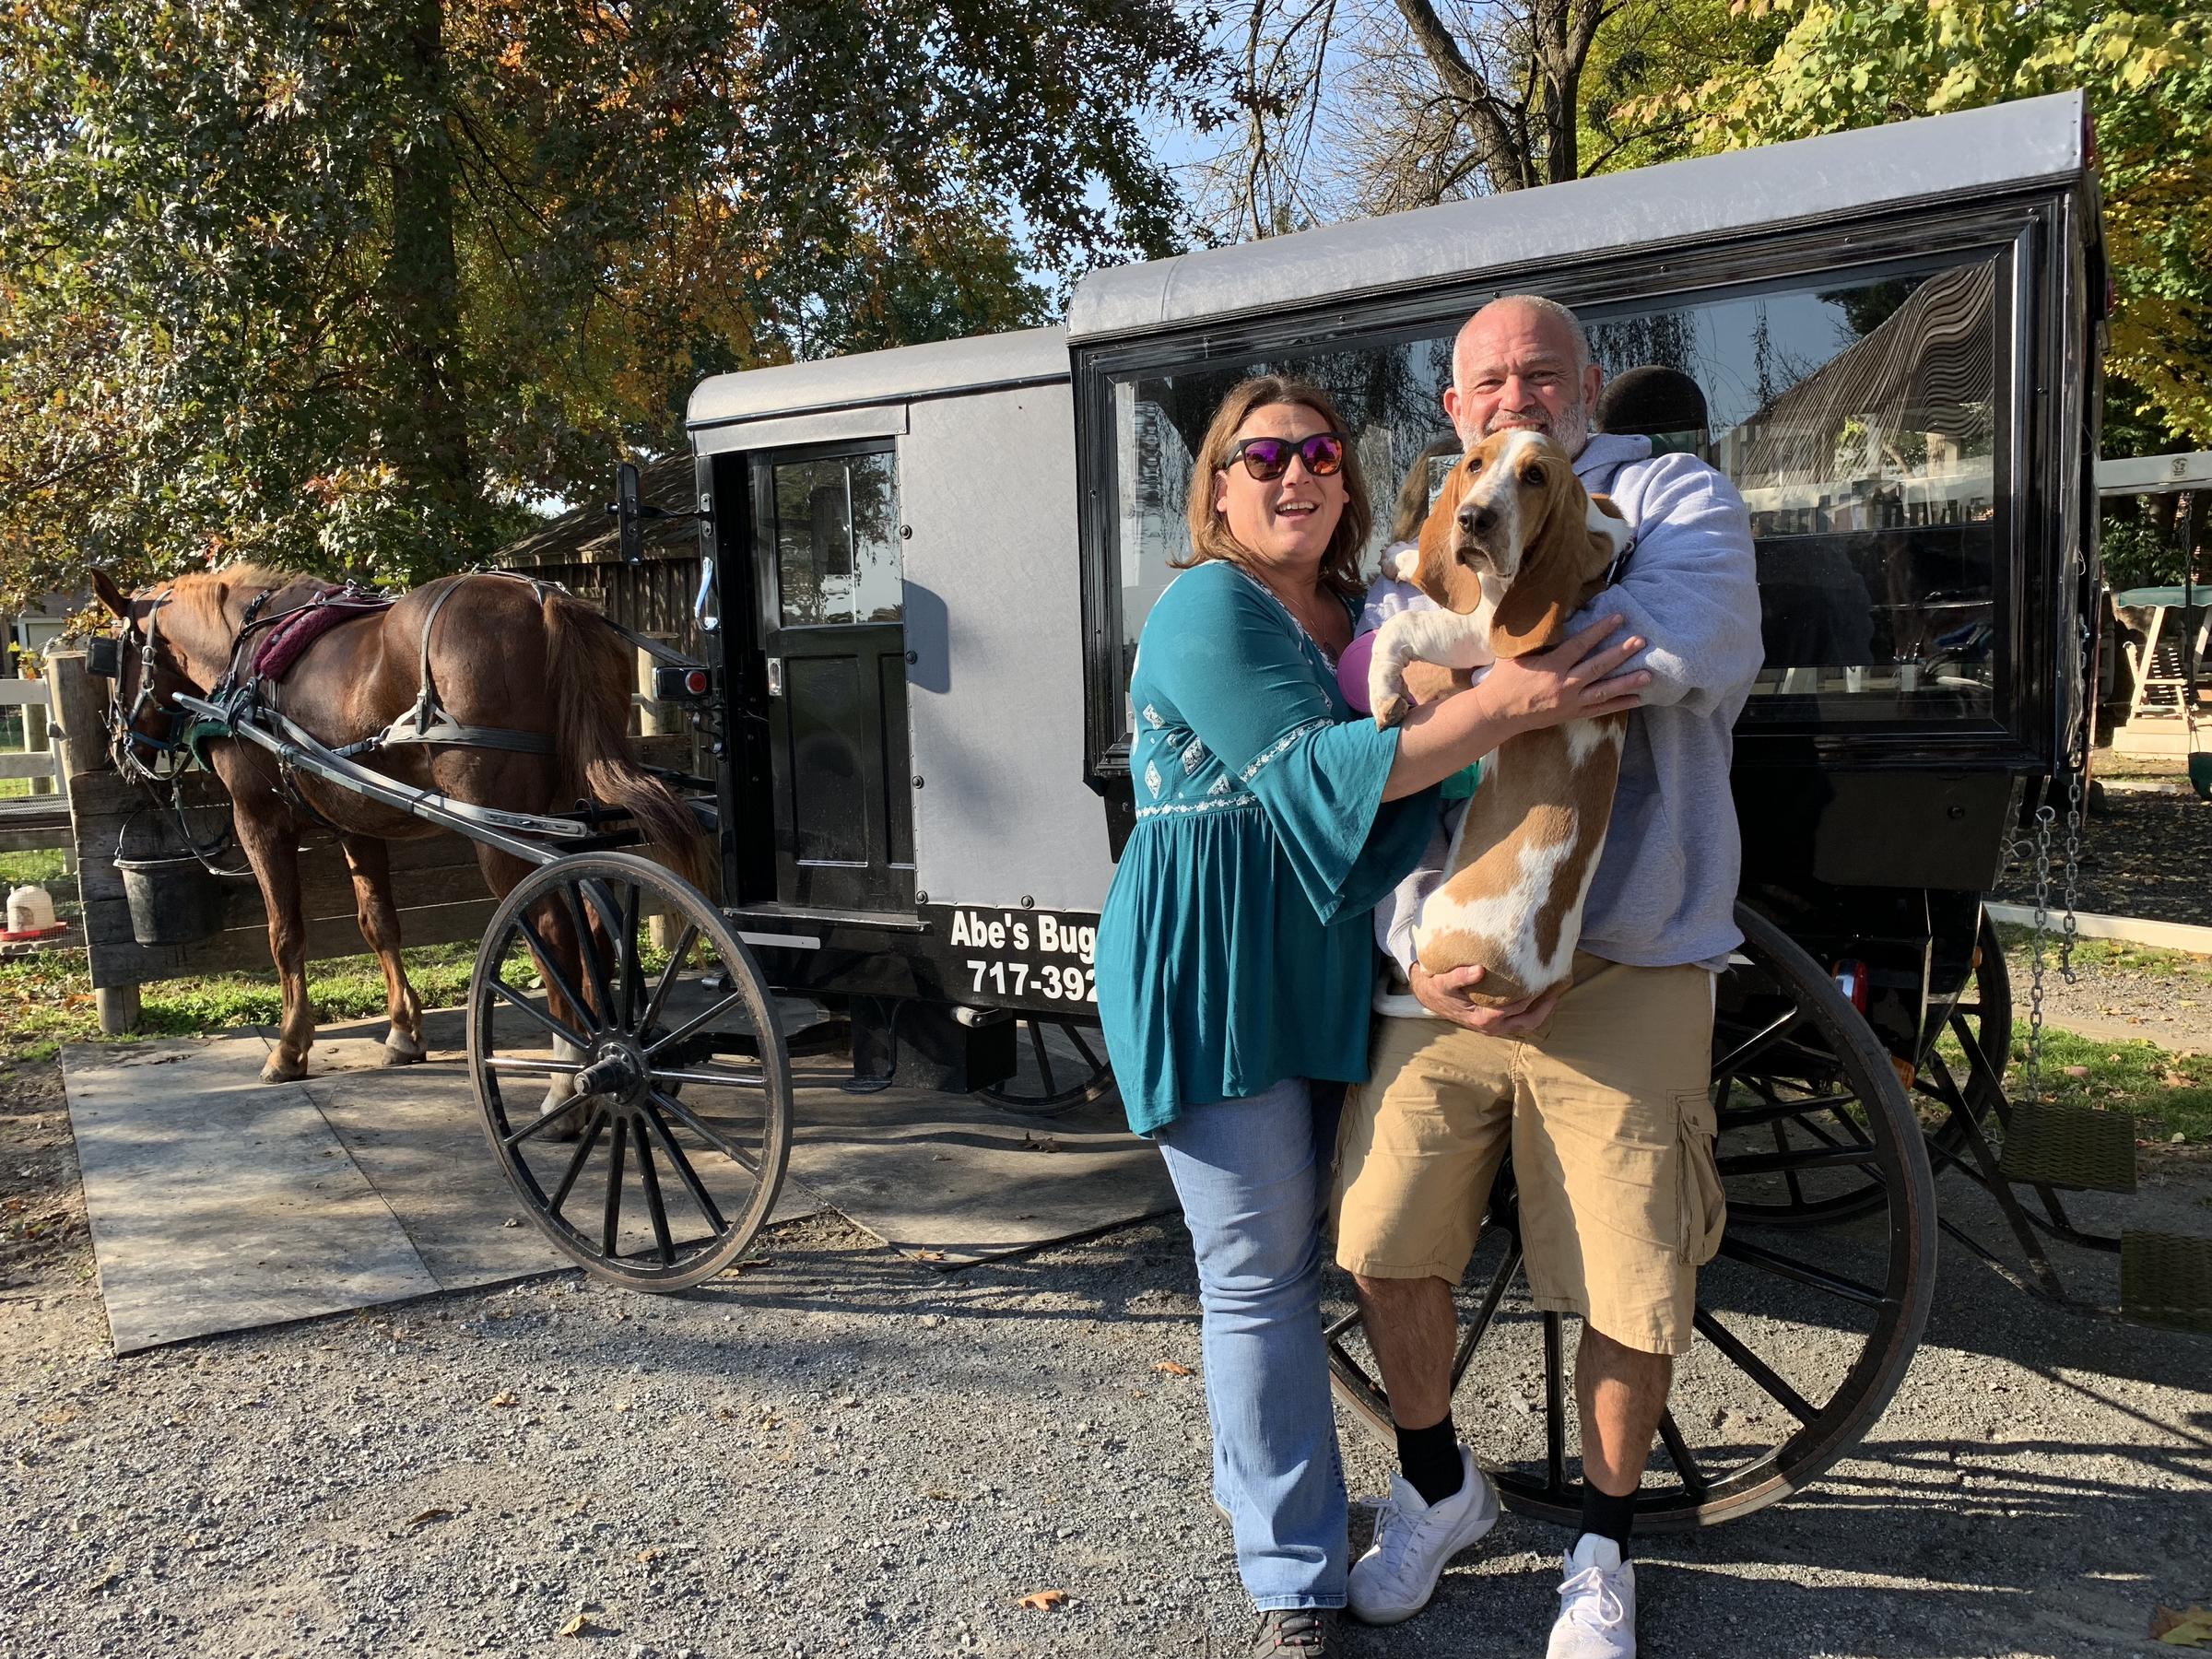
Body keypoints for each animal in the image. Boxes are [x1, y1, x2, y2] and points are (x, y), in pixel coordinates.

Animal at [92, 571, 699, 1092]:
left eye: (110, 660)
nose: (121, 750)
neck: (250, 654)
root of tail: (544, 600)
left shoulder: (257, 819)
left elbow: (285, 934)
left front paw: (289, 1048)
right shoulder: (354, 821)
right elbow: (377, 923)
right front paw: (404, 1031)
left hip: (508, 830)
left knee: (549, 928)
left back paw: (570, 1073)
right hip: (578, 811)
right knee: (594, 915)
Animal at [1371, 429, 1637, 1008]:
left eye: (1534, 477)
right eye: (1474, 465)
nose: (1473, 519)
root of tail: (1528, 984)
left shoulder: (1479, 629)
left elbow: (1400, 625)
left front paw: (1383, 693)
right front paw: (1401, 555)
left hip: (1430, 919)